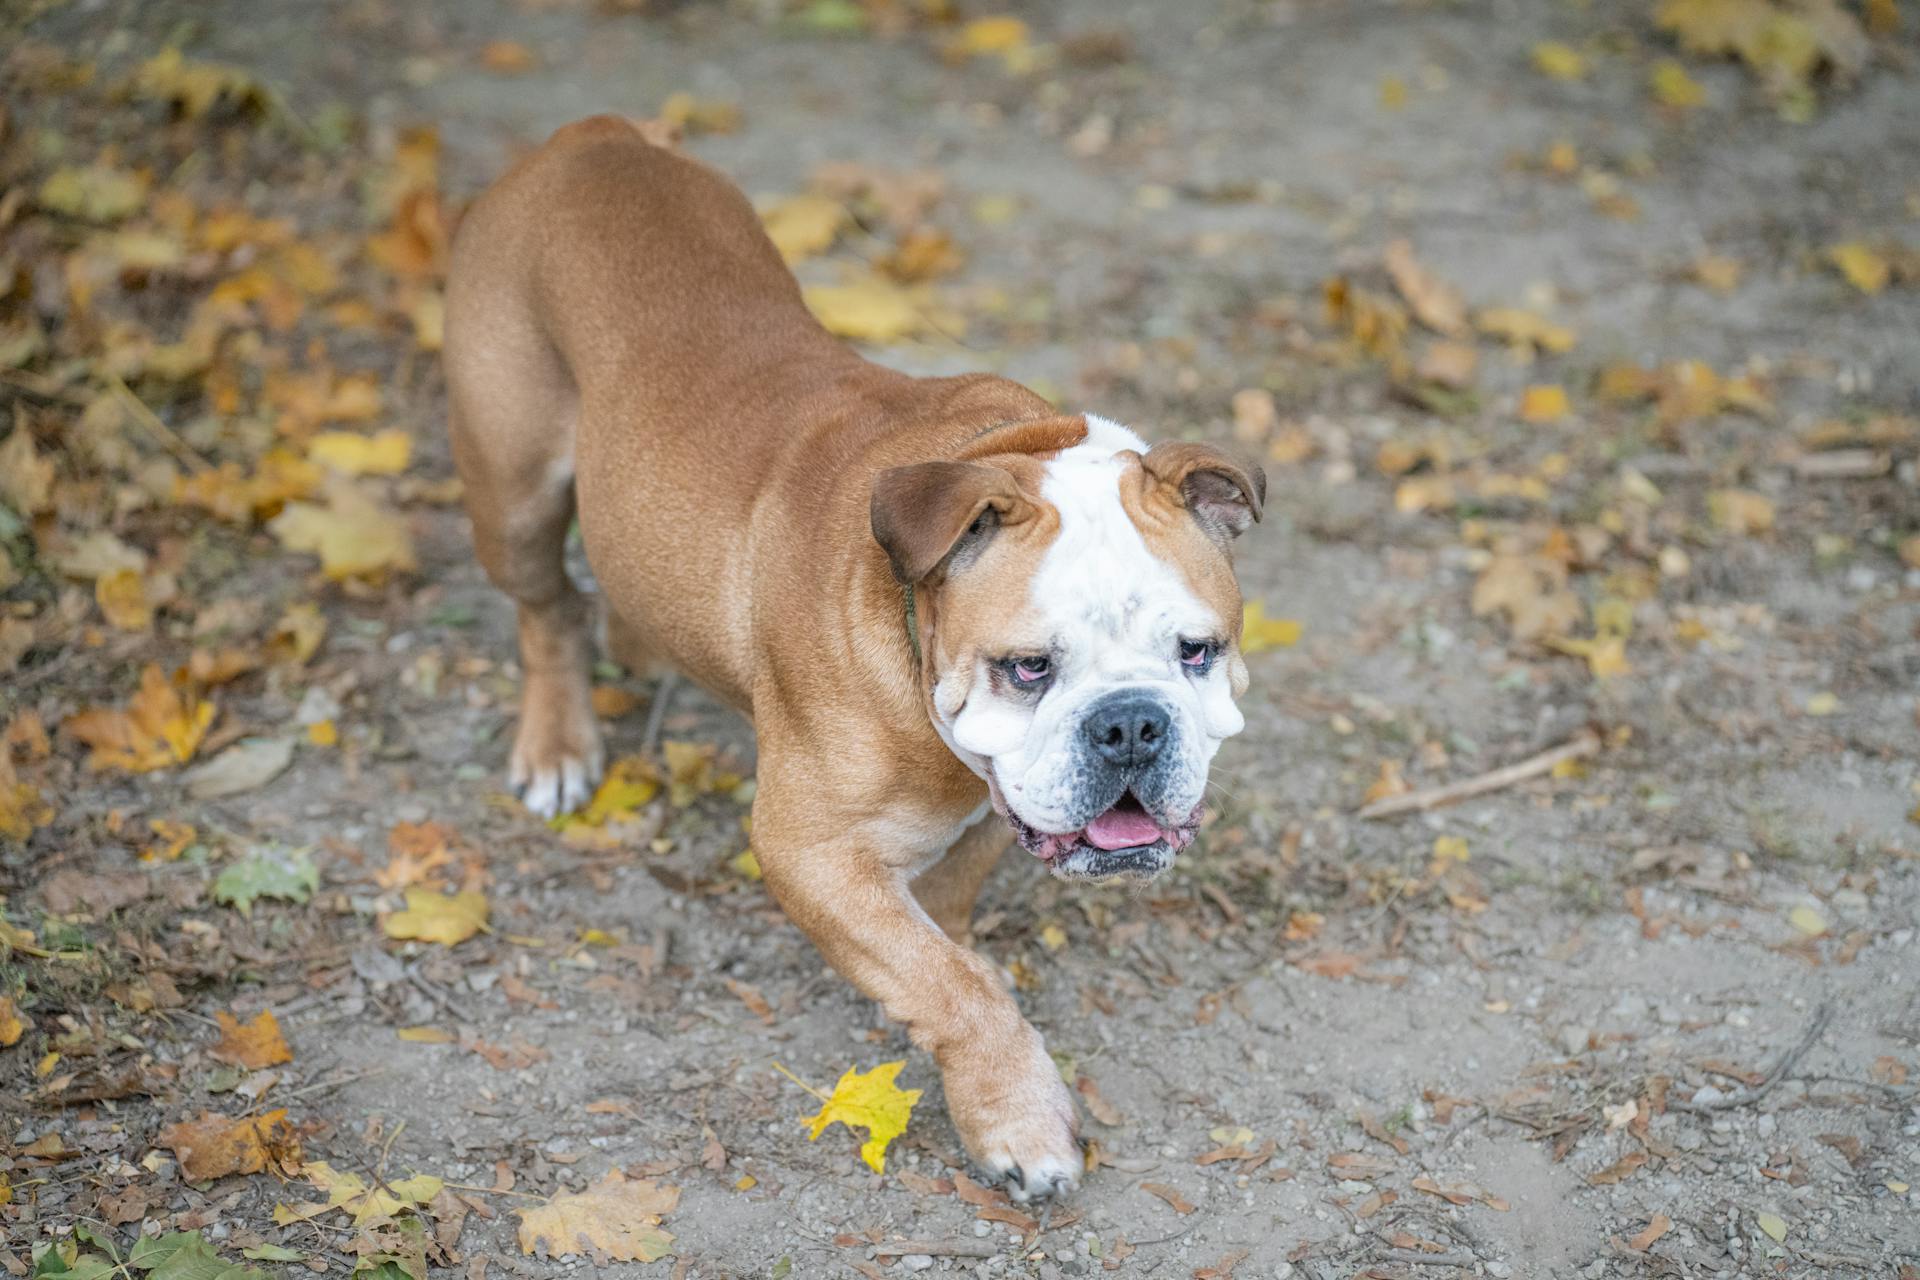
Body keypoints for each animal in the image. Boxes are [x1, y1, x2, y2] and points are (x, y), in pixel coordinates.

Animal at [441, 115, 1267, 1197]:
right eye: (1028, 667)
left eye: (1197, 652)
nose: (1129, 724)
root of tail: (590, 136)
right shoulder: (809, 850)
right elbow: (948, 981)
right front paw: (1017, 1114)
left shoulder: (990, 809)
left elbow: (944, 933)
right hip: (514, 489)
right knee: (547, 610)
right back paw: (557, 744)